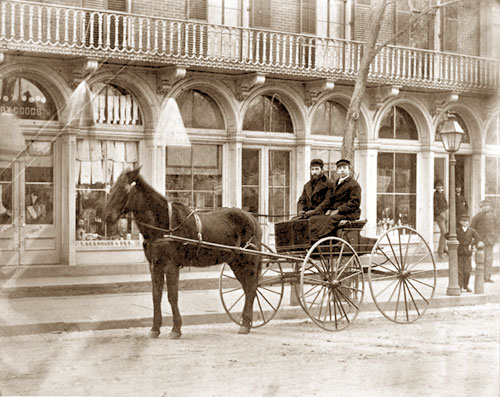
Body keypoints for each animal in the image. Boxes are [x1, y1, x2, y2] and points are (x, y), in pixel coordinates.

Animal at [103, 167, 264, 338]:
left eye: (125, 189)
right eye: (112, 188)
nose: (106, 217)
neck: (164, 224)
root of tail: (253, 219)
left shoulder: (171, 265)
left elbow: (172, 296)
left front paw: (176, 329)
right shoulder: (155, 265)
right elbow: (156, 296)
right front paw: (155, 328)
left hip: (247, 261)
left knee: (251, 288)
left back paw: (245, 324)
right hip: (236, 262)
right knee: (248, 288)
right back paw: (246, 322)